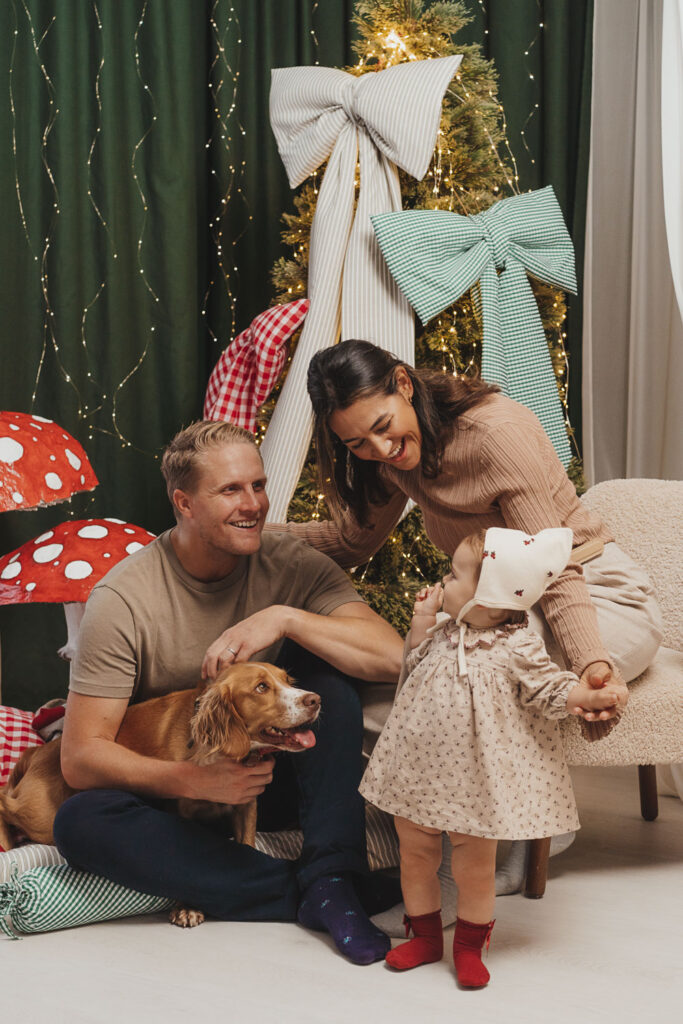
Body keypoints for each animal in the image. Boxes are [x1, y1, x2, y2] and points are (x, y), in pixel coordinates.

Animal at [0, 663, 321, 929]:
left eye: (287, 680)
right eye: (261, 687)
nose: (315, 700)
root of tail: (38, 752)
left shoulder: (246, 804)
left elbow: (246, 846)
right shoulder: (180, 809)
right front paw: (186, 907)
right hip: (42, 814)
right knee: (5, 801)